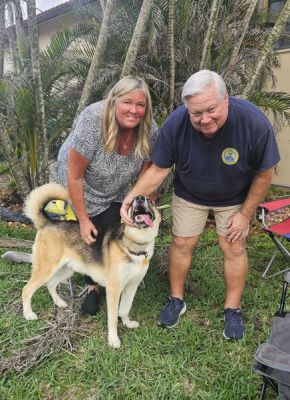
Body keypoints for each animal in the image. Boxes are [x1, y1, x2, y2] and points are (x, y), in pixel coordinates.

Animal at [22, 184, 161, 346]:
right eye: (132, 202)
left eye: (151, 202)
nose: (139, 198)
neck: (135, 245)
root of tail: (48, 222)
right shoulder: (114, 289)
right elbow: (113, 318)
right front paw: (113, 339)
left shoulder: (132, 286)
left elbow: (125, 309)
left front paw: (127, 323)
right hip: (46, 269)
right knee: (27, 289)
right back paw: (28, 314)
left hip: (66, 270)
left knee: (50, 284)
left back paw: (60, 303)